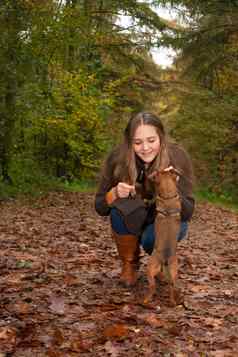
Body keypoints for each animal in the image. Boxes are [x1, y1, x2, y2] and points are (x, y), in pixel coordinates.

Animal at [144, 168, 181, 304]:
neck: (168, 196)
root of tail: (164, 258)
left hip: (150, 268)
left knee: (152, 286)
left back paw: (145, 299)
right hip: (174, 271)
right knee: (173, 286)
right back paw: (173, 301)